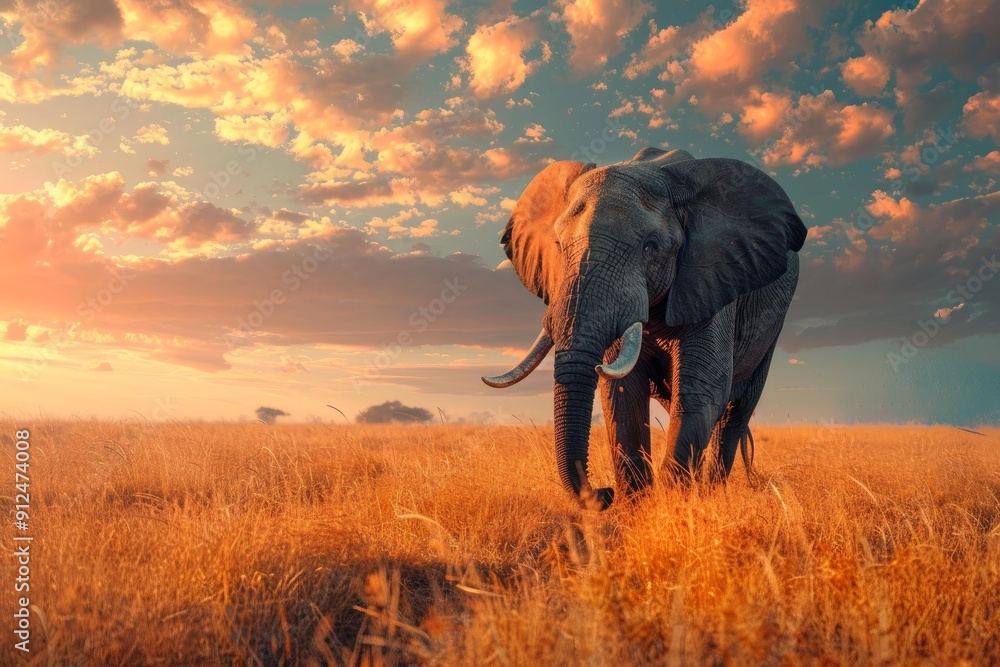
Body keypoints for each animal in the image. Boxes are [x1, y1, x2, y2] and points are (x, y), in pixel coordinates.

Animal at [482, 147, 807, 510]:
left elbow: (702, 389)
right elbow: (623, 393)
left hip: (772, 324)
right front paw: (637, 508)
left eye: (650, 246)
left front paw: (674, 507)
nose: (604, 492)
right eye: (559, 245)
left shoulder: (712, 280)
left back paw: (712, 491)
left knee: (735, 412)